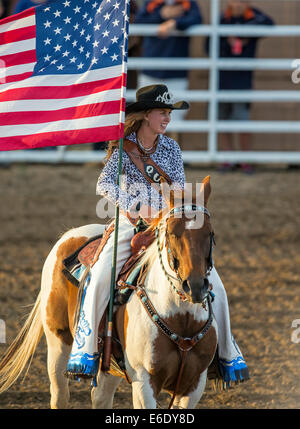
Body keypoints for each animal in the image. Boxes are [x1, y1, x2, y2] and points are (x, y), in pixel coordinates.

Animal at [0, 176, 217, 406]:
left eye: (210, 233)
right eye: (173, 233)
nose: (194, 286)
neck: (181, 320)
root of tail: (69, 235)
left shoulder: (194, 385)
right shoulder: (144, 380)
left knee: (100, 397)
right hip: (58, 342)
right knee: (60, 395)